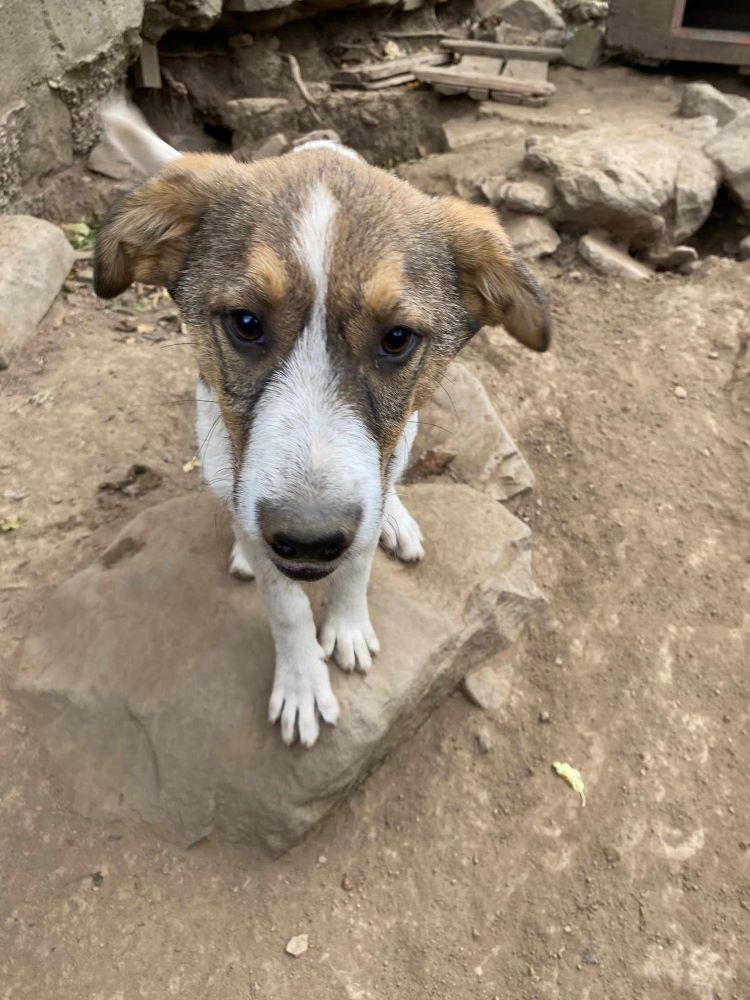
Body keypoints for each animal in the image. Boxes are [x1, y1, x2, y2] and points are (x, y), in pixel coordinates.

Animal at [95, 101, 552, 752]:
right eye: (245, 323)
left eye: (396, 339)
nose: (308, 540)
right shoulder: (241, 473)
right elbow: (285, 607)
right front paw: (303, 683)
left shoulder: (379, 465)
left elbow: (358, 559)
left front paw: (348, 624)